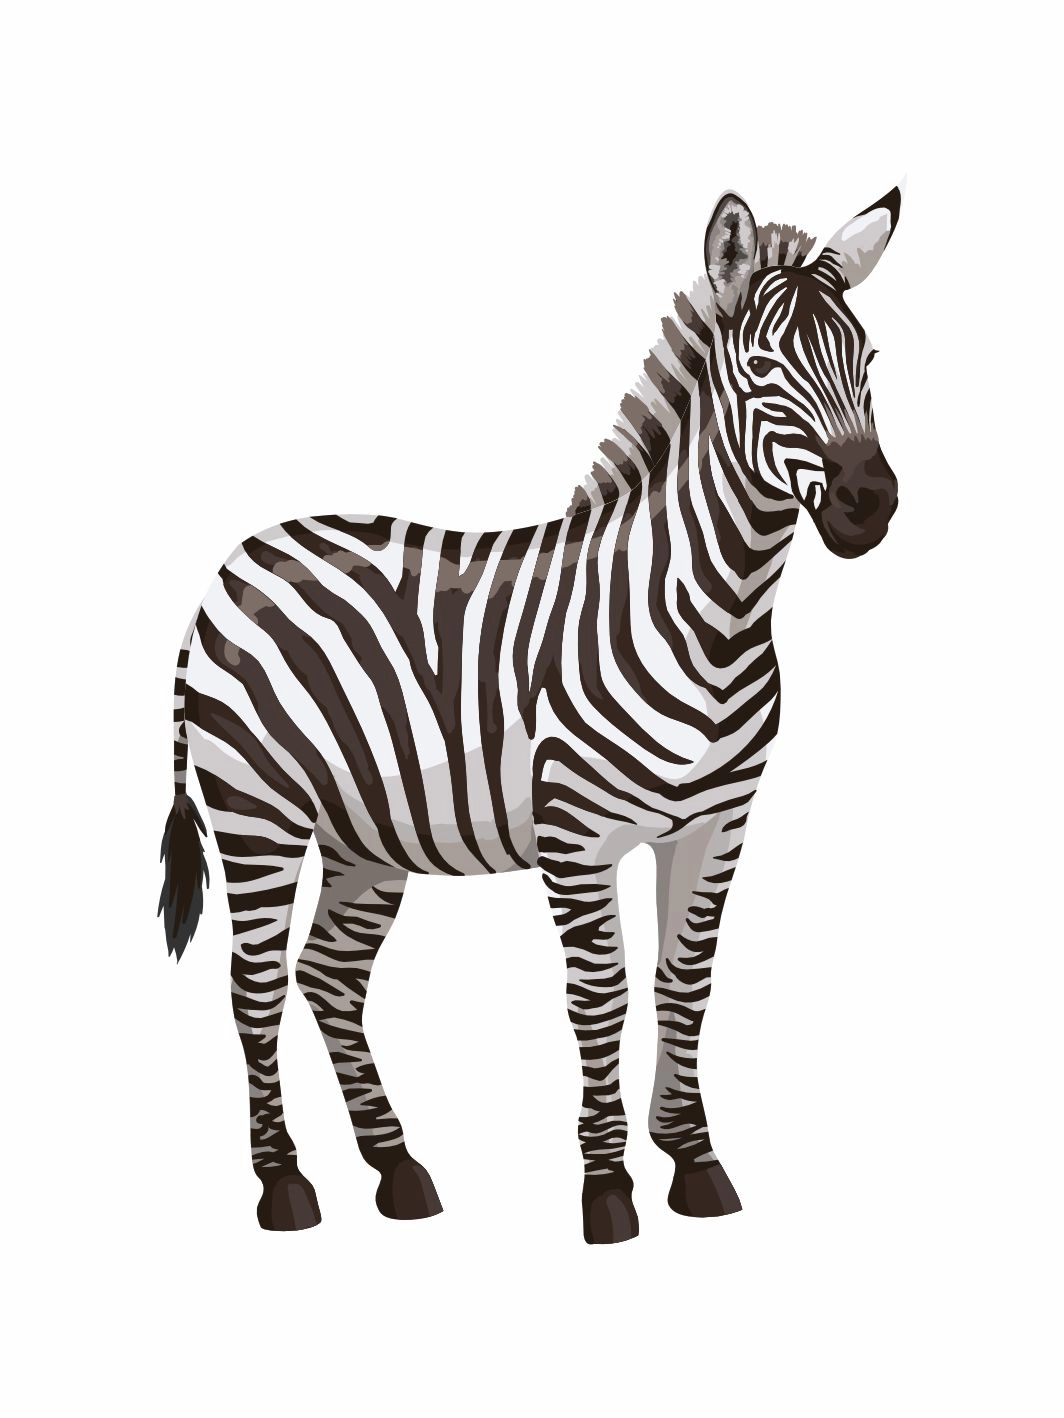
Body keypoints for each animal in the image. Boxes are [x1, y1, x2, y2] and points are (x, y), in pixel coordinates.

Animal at [159, 185, 901, 1244]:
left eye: (868, 360)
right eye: (762, 369)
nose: (867, 504)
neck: (711, 616)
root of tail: (231, 563)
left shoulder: (717, 826)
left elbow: (686, 983)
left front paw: (694, 1161)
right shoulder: (578, 837)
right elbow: (603, 996)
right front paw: (609, 1187)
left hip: (364, 833)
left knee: (329, 974)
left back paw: (397, 1168)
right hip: (255, 813)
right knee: (253, 987)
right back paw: (284, 1185)